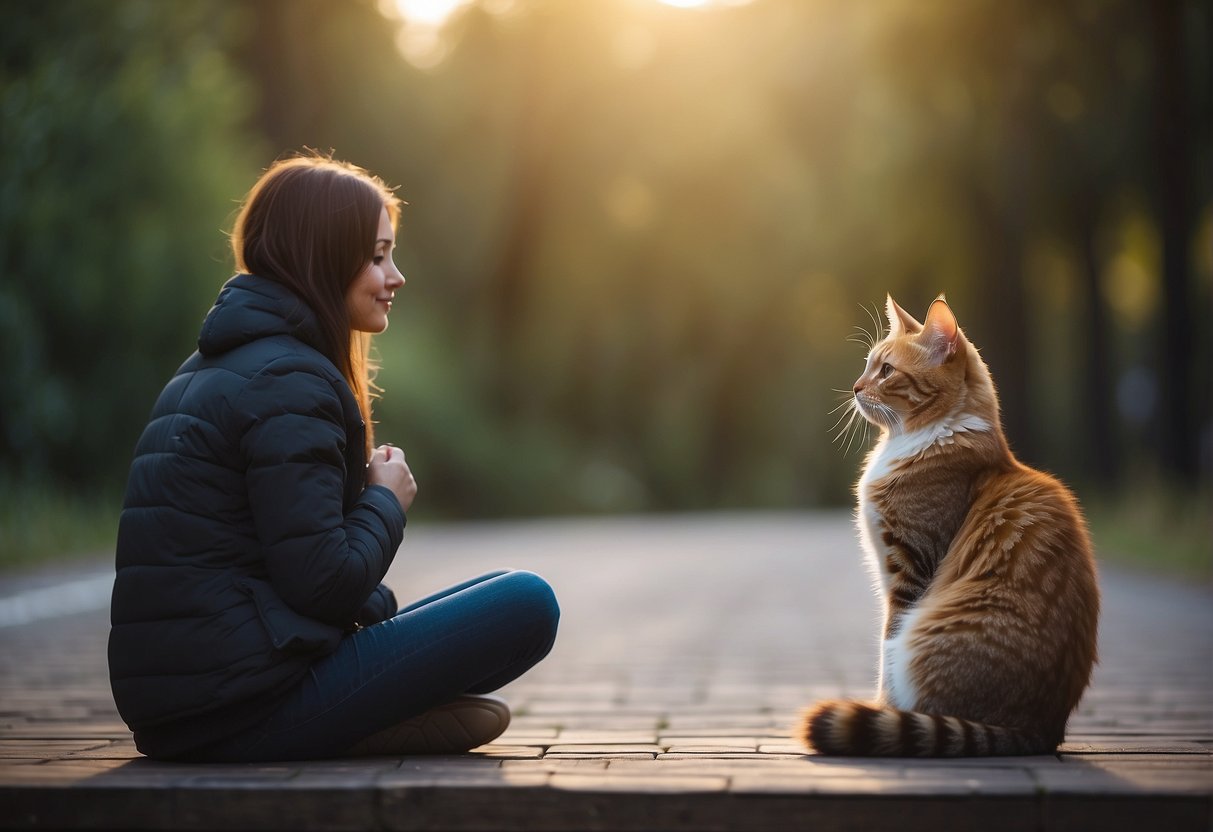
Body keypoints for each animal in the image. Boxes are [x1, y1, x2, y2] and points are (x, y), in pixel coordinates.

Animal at [805, 297, 1101, 761]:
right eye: (868, 365)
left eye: (885, 370)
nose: (855, 387)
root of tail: (1040, 730)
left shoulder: (908, 569)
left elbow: (886, 654)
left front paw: (883, 709)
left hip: (922, 632)